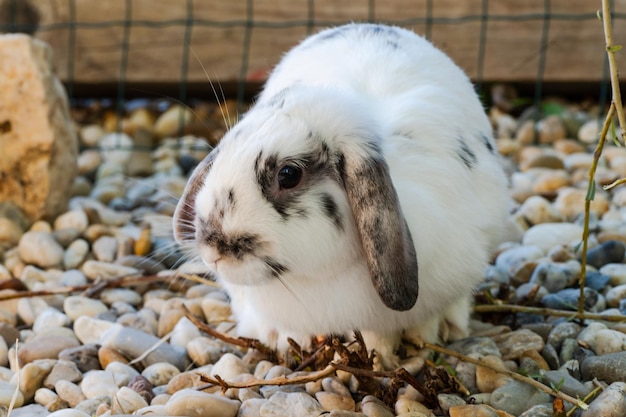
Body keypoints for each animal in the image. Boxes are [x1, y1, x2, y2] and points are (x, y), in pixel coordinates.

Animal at [173, 22, 510, 368]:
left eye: (288, 175)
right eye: (223, 153)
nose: (211, 249)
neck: (314, 280)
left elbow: (383, 333)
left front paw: (382, 357)